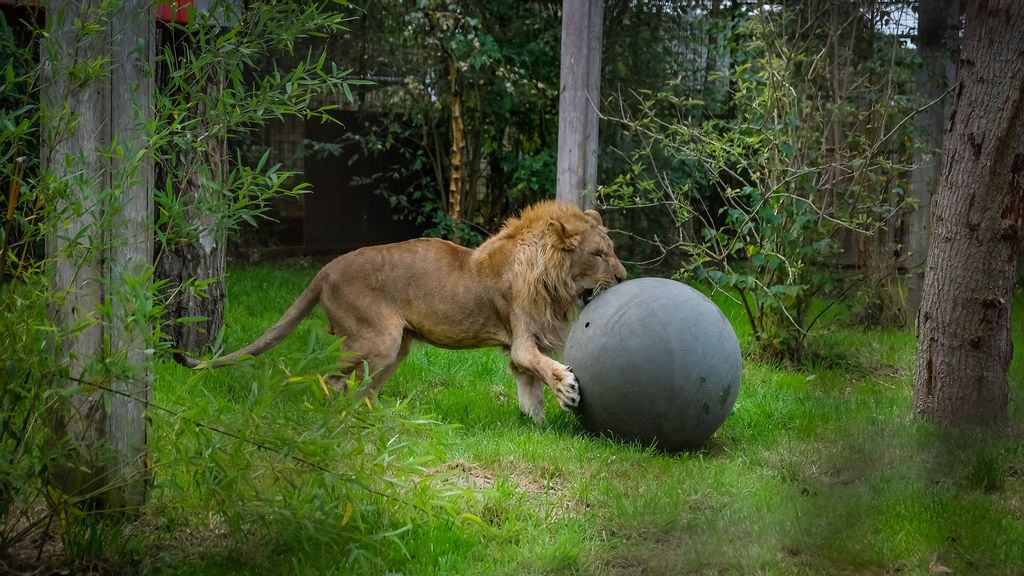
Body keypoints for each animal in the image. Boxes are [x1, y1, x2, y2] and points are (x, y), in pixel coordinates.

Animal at [175, 199, 622, 420]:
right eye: (599, 255)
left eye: (612, 251)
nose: (622, 277)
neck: (557, 282)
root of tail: (325, 269)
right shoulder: (522, 341)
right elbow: (544, 369)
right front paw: (568, 391)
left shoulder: (522, 347)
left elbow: (530, 390)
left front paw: (538, 426)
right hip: (380, 339)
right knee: (333, 379)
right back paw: (343, 417)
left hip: (397, 347)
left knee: (364, 389)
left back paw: (381, 421)